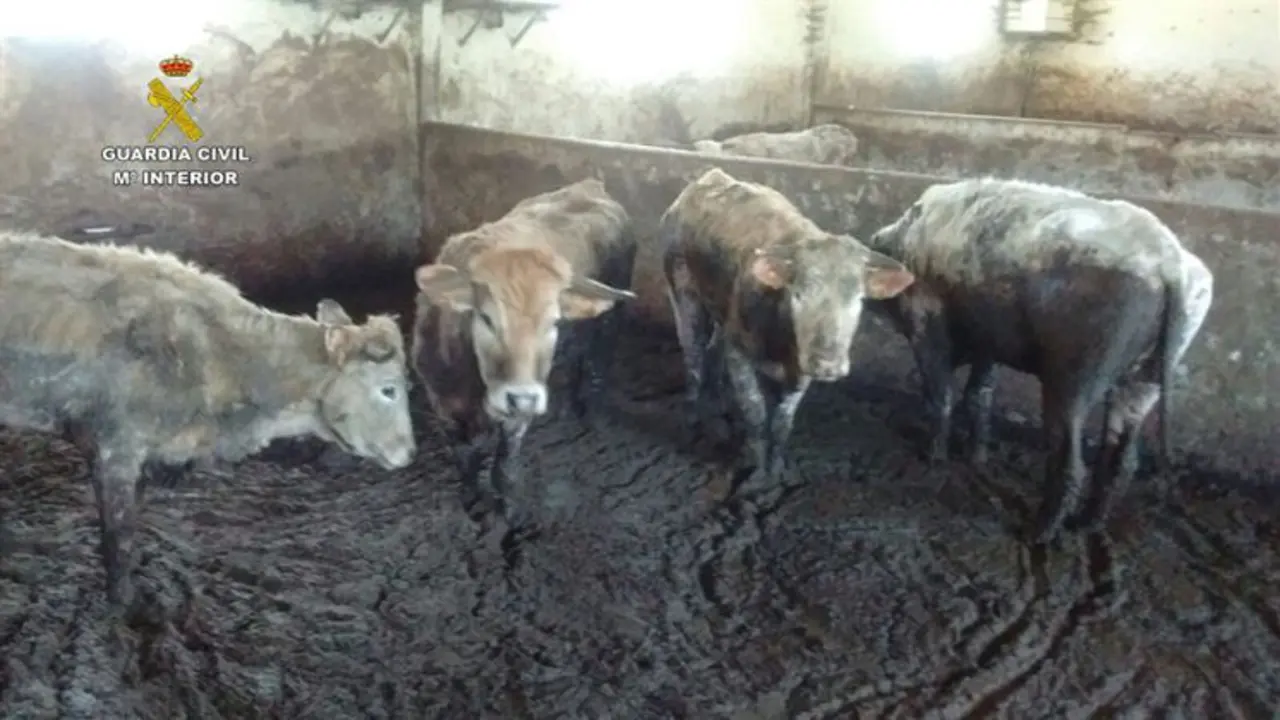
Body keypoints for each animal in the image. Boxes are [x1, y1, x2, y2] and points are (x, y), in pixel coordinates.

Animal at [412, 178, 637, 524]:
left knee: (598, 361)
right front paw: (472, 500)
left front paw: (508, 509)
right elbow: (465, 458)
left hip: (611, 320)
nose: (523, 398)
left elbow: (504, 466)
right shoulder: (443, 406)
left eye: (554, 321)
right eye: (486, 317)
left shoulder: (516, 419)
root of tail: (590, 185)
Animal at [659, 168, 915, 486]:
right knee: (693, 356)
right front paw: (757, 474)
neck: (782, 346)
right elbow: (755, 412)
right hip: (683, 293)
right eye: (797, 294)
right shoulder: (739, 352)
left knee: (712, 352)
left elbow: (783, 421)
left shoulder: (802, 369)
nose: (827, 364)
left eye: (857, 298)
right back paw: (693, 424)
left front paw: (778, 470)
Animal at [865, 177, 1214, 543]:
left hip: (1074, 376)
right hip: (1145, 380)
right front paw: (978, 460)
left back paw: (1040, 533)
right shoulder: (989, 342)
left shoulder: (926, 324)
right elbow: (979, 395)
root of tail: (1167, 260)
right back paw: (1087, 525)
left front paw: (934, 460)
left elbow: (940, 397)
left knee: (1070, 461)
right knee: (1122, 458)